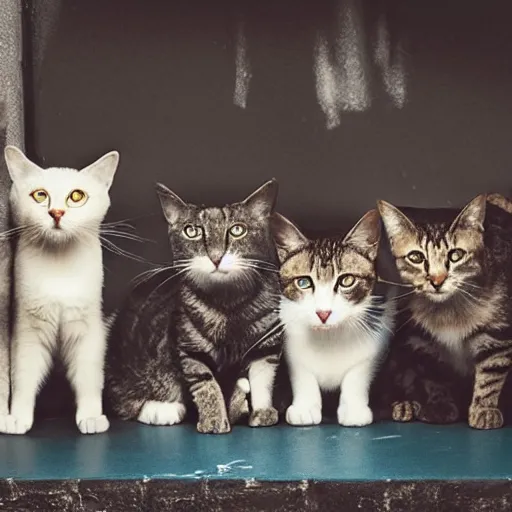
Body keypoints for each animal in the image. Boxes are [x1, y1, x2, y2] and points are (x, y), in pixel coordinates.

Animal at [0, 146, 119, 434]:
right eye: (40, 195)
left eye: (77, 196)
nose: (56, 212)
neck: (59, 268)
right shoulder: (27, 330)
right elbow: (23, 376)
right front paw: (17, 418)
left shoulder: (88, 330)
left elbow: (89, 377)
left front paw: (91, 417)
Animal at [106, 179, 282, 432]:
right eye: (192, 231)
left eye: (237, 230)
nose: (216, 257)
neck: (228, 303)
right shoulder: (191, 350)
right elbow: (205, 385)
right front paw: (213, 420)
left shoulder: (267, 343)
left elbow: (262, 378)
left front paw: (262, 412)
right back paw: (161, 409)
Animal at [272, 210, 396, 426]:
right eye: (303, 282)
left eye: (347, 280)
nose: (323, 312)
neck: (329, 338)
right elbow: (302, 372)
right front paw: (305, 407)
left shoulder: (381, 324)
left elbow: (358, 373)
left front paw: (354, 410)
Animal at [378, 194, 512, 430]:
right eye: (416, 257)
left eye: (456, 255)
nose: (437, 280)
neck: (448, 312)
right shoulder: (420, 339)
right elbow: (433, 377)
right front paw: (439, 405)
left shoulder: (498, 333)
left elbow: (491, 374)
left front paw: (484, 409)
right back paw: (404, 404)